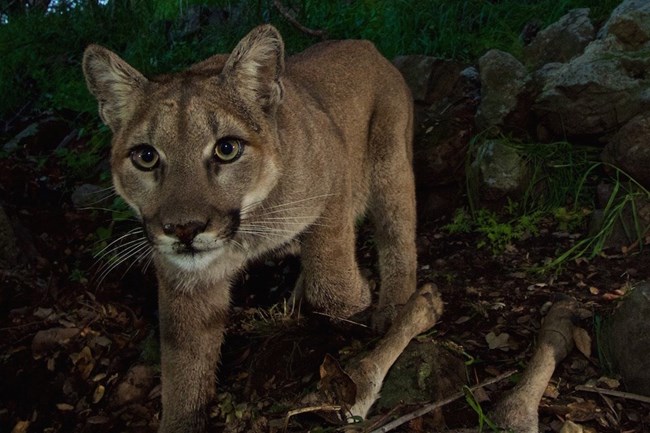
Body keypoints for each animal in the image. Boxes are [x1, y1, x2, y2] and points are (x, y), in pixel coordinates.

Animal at [82, 25, 416, 430]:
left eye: (227, 149)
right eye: (145, 156)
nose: (184, 229)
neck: (249, 229)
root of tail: (363, 44)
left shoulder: (333, 173)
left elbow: (331, 282)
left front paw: (356, 299)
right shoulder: (186, 280)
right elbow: (183, 368)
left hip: (390, 164)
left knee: (399, 236)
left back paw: (394, 307)